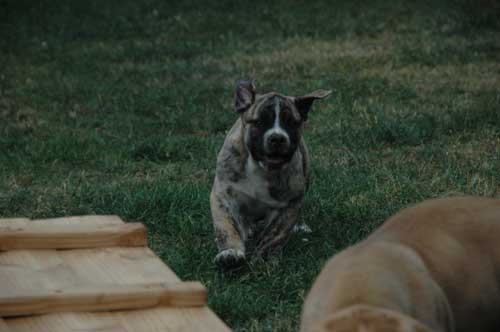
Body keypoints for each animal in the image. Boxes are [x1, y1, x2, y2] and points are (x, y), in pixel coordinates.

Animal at [209, 80, 330, 268]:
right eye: (259, 122)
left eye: (291, 123)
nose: (277, 138)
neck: (260, 166)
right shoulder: (223, 196)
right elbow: (227, 227)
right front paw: (231, 252)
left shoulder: (288, 204)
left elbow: (275, 233)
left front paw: (264, 257)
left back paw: (299, 226)